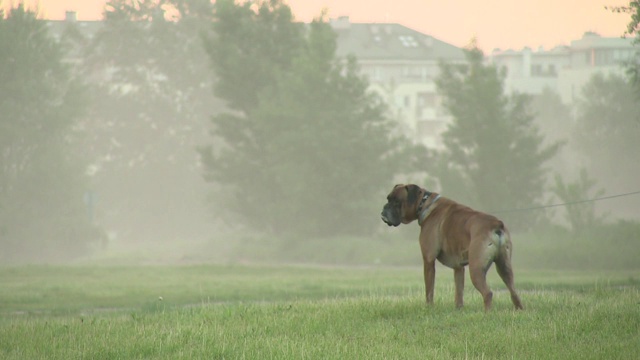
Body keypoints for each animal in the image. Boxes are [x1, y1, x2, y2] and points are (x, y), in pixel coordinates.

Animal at [380, 184, 524, 310]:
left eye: (396, 202)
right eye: (388, 199)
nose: (384, 208)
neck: (424, 204)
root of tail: (496, 224)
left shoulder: (428, 261)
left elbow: (429, 289)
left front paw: (429, 307)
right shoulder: (458, 267)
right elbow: (459, 291)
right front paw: (459, 309)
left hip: (476, 269)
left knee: (487, 293)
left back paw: (487, 314)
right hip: (504, 268)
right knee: (514, 293)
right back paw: (519, 311)